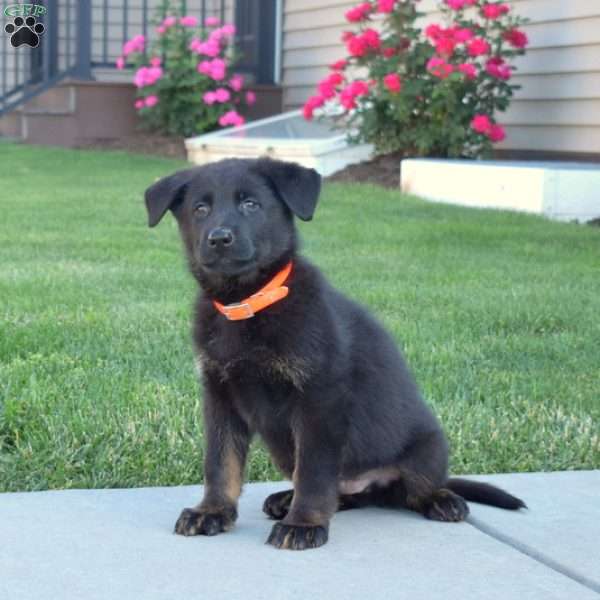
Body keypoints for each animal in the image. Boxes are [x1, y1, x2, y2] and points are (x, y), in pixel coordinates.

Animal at [143, 158, 524, 548]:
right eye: (200, 209)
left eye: (250, 204)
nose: (219, 238)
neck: (248, 304)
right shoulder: (220, 398)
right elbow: (221, 463)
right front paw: (212, 511)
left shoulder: (318, 401)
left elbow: (313, 471)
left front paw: (303, 523)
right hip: (284, 450)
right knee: (342, 494)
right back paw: (287, 498)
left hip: (428, 447)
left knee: (411, 490)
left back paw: (440, 499)